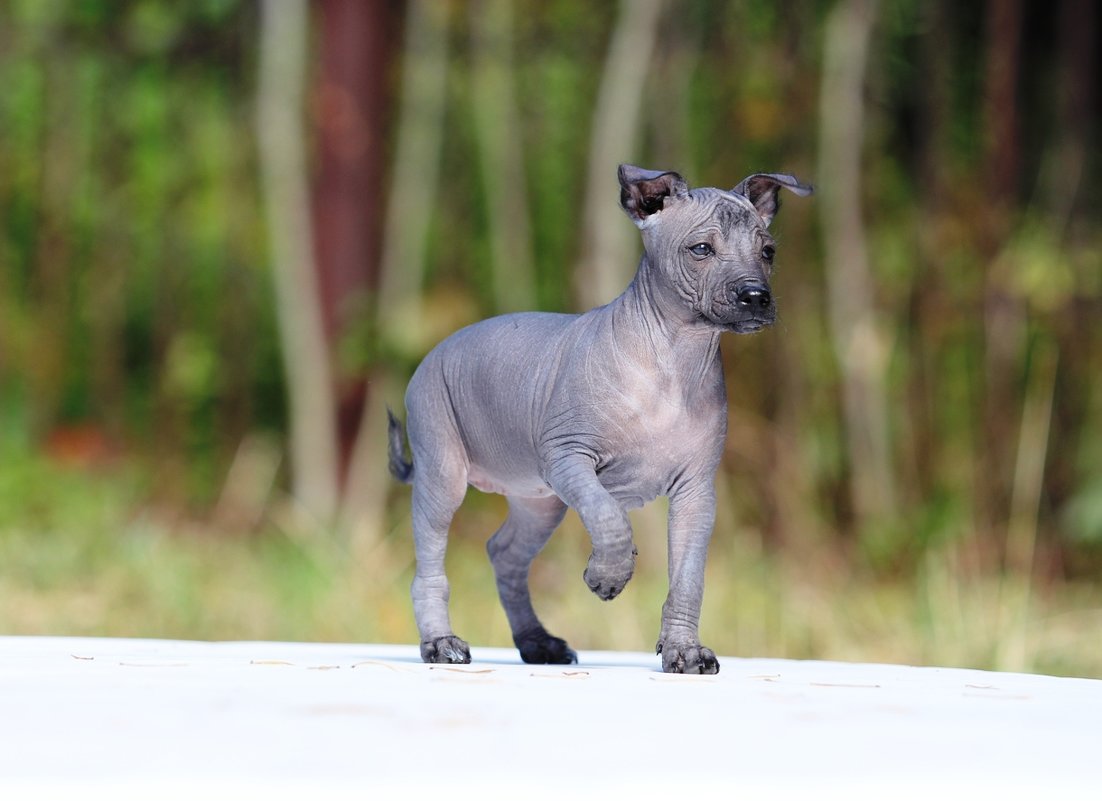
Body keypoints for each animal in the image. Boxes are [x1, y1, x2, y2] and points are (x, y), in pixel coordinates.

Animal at [387, 166, 811, 674]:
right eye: (701, 249)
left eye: (768, 252)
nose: (755, 296)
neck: (675, 358)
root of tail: (432, 355)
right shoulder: (568, 458)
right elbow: (609, 517)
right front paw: (608, 574)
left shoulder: (696, 492)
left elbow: (688, 578)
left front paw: (684, 650)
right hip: (444, 473)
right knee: (429, 566)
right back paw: (440, 642)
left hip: (539, 500)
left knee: (505, 554)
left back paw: (537, 643)